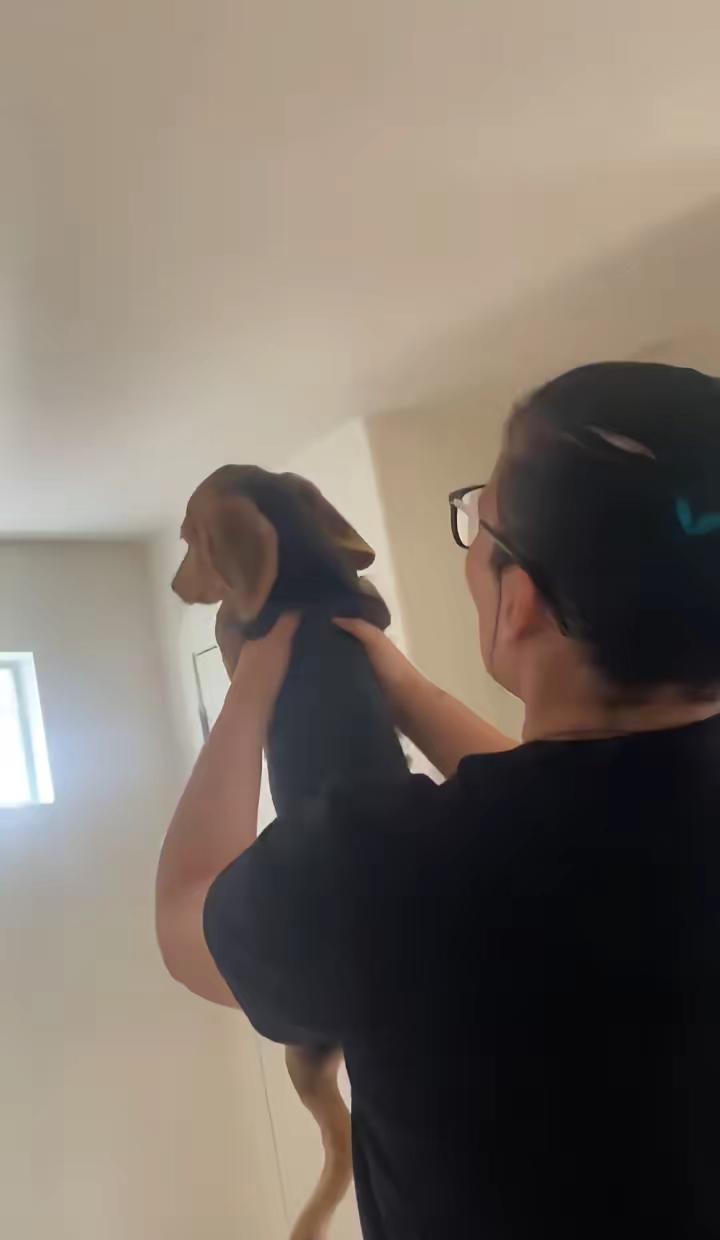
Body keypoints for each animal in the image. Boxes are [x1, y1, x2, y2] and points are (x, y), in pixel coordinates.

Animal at [172, 465, 409, 1240]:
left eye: (187, 538)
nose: (174, 587)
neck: (303, 578)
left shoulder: (246, 643)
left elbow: (230, 623)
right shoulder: (369, 608)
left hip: (298, 1059)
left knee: (336, 1145)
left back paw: (309, 1219)